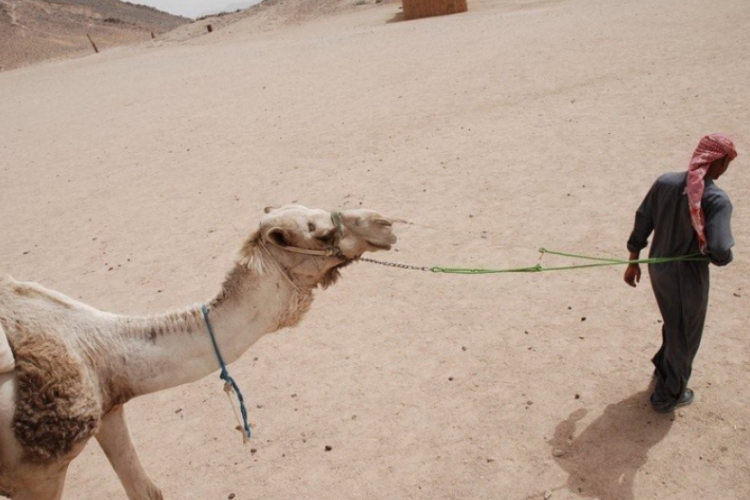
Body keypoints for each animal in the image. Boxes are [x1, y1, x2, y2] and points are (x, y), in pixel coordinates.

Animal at [0, 204, 400, 500]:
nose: (385, 224)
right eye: (322, 232)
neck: (94, 345)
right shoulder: (36, 474)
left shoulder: (109, 410)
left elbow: (147, 492)